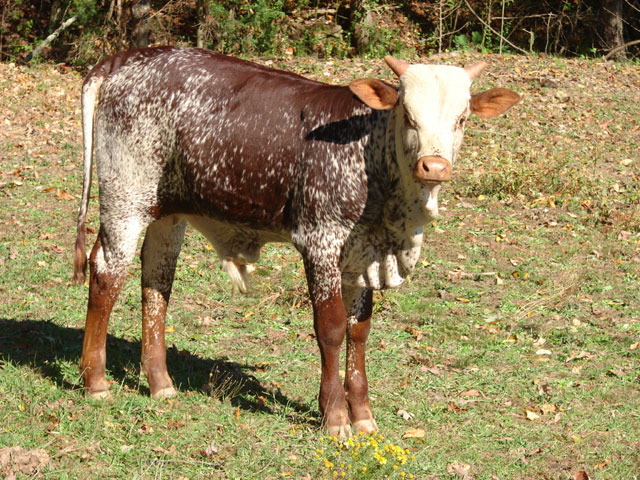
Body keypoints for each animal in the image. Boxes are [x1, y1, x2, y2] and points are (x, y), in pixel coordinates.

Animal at [71, 47, 520, 436]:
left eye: (462, 119)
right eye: (408, 115)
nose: (435, 166)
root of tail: (123, 59)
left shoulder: (361, 256)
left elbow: (360, 331)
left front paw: (363, 414)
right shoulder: (320, 240)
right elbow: (332, 328)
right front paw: (335, 416)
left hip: (166, 210)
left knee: (156, 281)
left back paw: (161, 383)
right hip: (126, 198)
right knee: (106, 274)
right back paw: (96, 382)